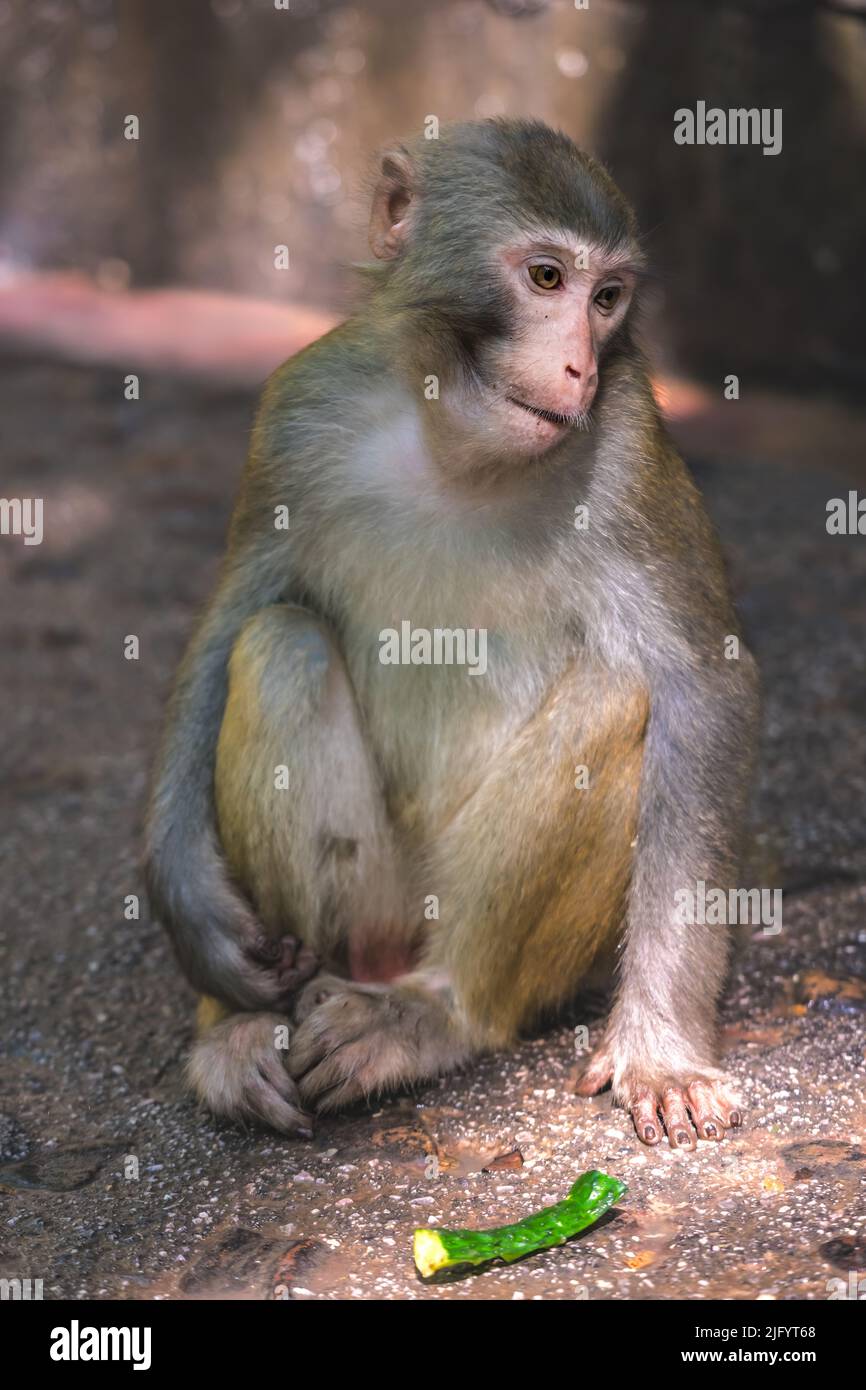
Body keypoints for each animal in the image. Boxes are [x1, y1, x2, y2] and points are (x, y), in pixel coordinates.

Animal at [147, 116, 756, 1150]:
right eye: (546, 279)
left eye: (607, 299)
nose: (579, 364)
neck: (459, 444)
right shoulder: (298, 408)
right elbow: (232, 616)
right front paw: (194, 916)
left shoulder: (627, 445)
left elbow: (698, 686)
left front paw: (662, 1049)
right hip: (374, 910)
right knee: (278, 644)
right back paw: (242, 1029)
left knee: (617, 690)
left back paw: (434, 1014)